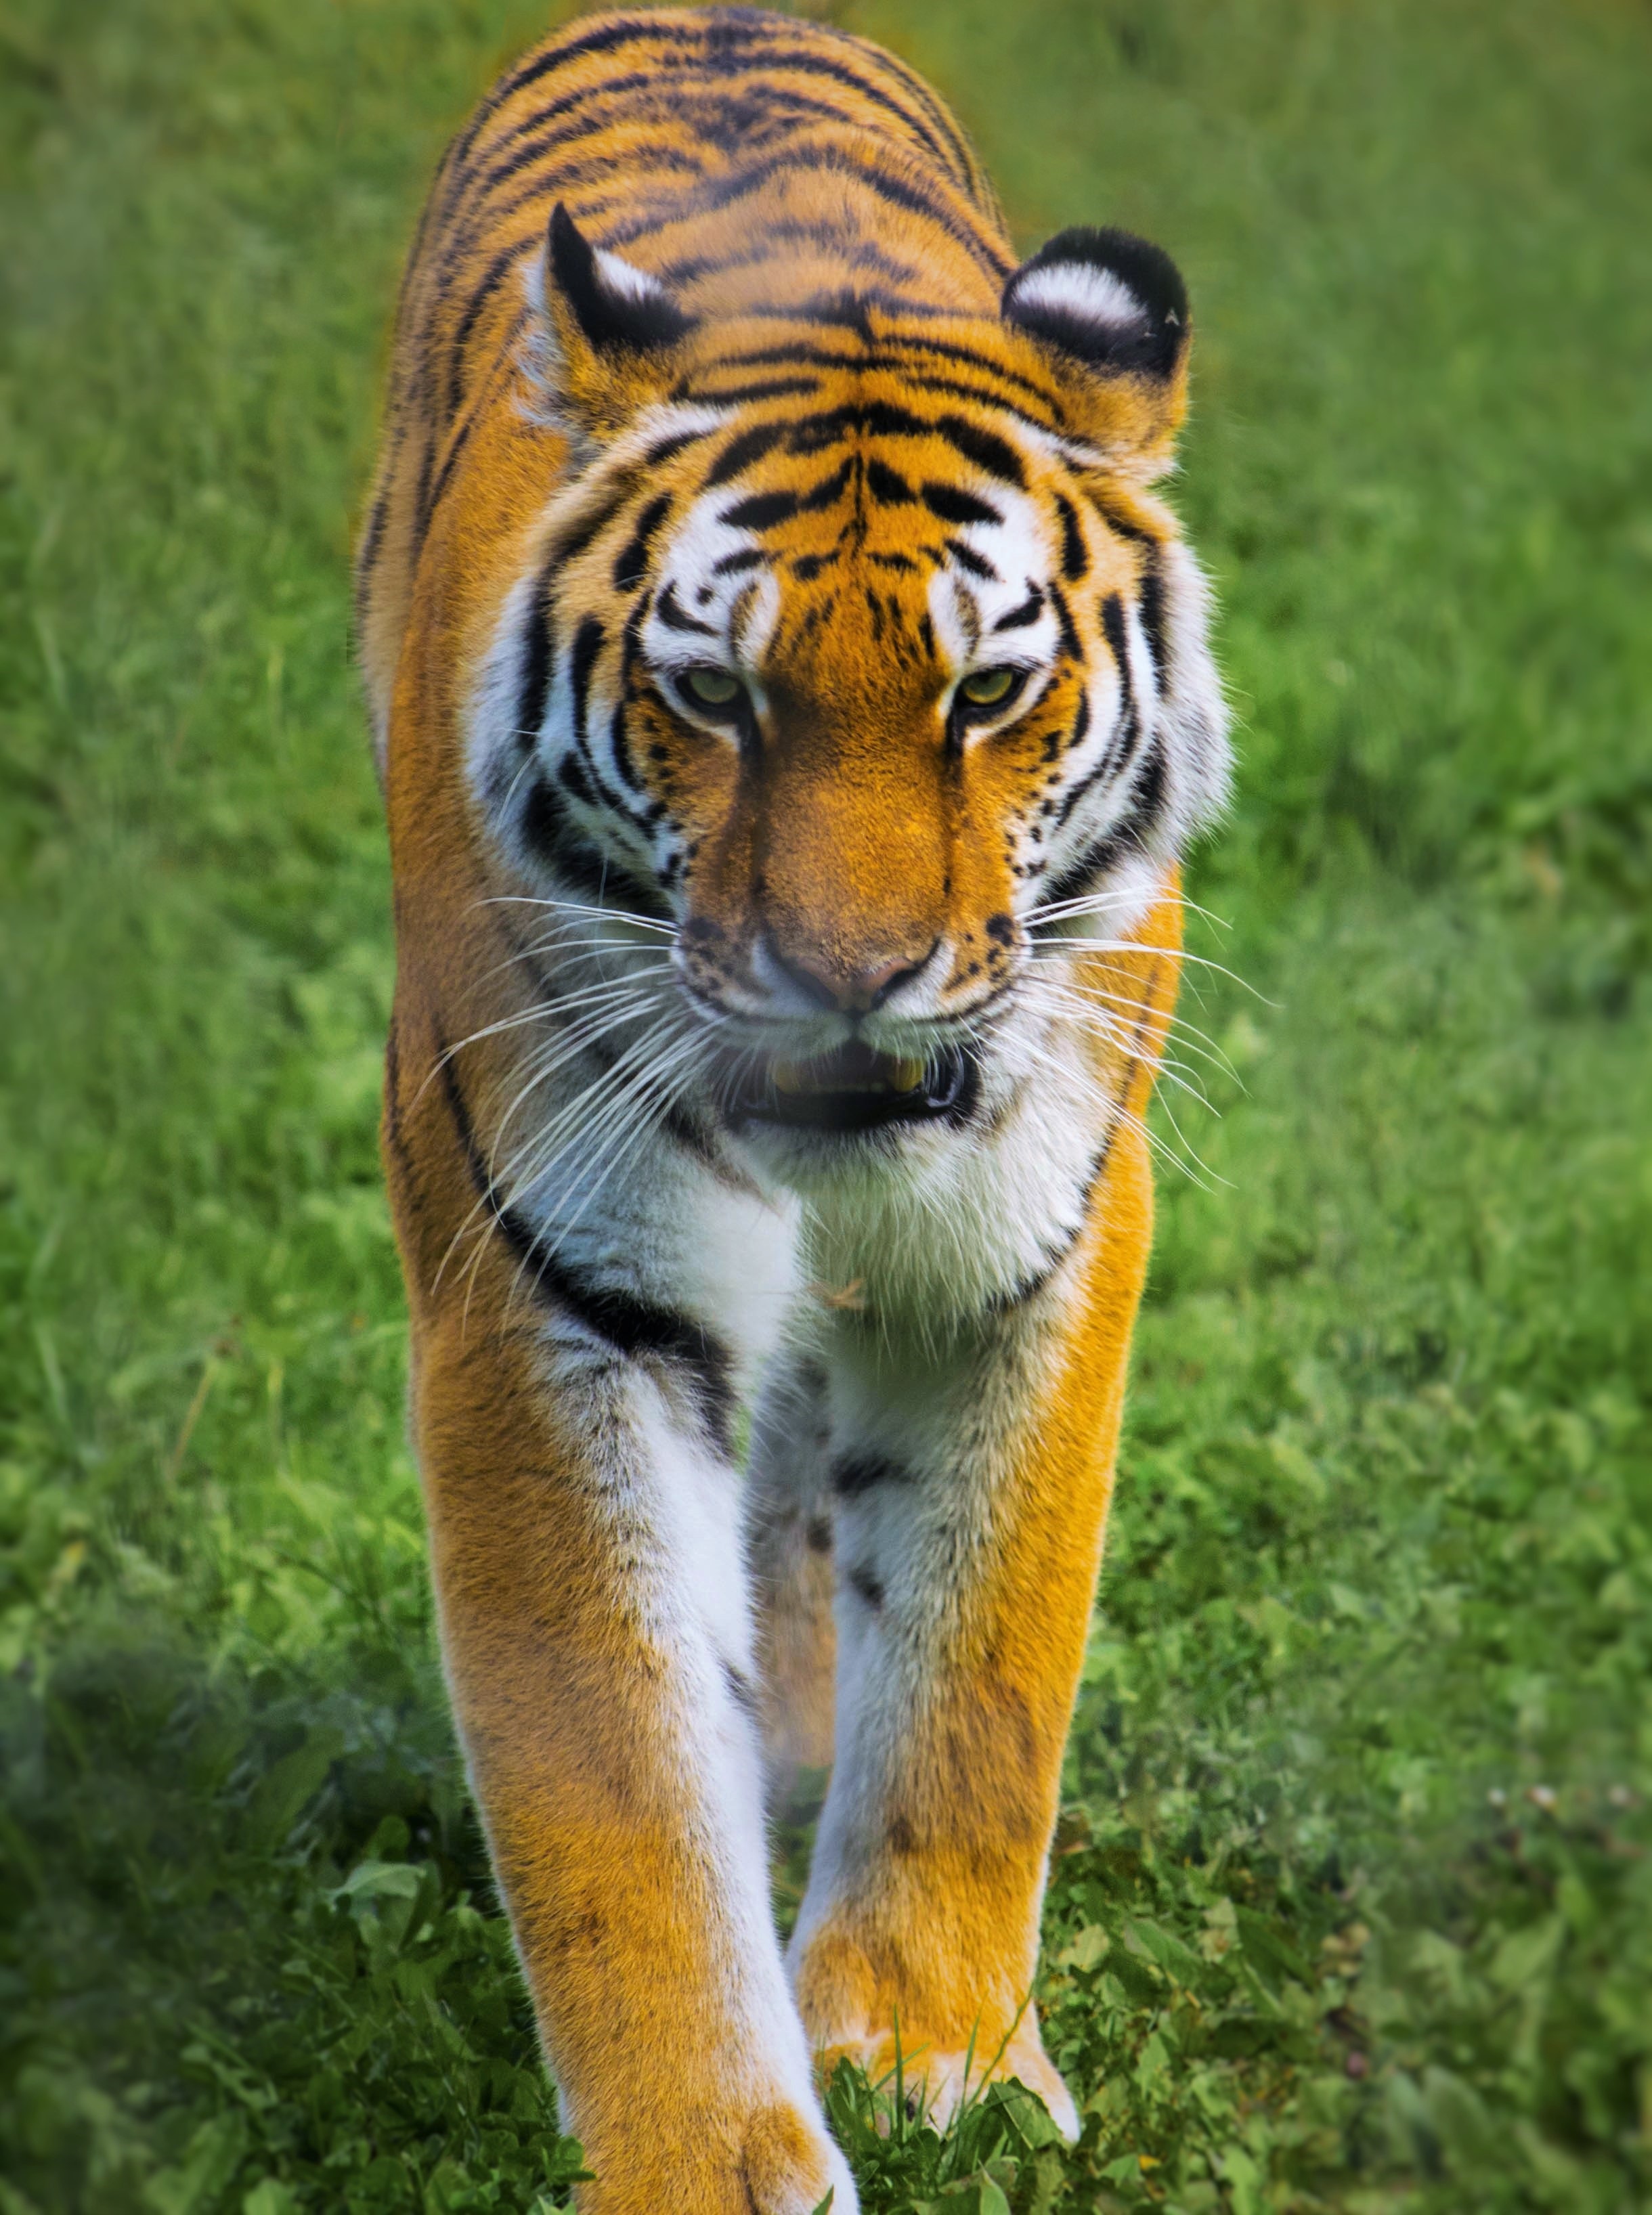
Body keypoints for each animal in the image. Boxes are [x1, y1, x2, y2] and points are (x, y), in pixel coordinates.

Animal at [356, 8, 1222, 2206]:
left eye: (985, 696)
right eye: (713, 696)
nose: (852, 972)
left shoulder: (1042, 1233)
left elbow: (984, 1660)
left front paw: (928, 2049)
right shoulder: (549, 1279)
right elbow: (609, 1766)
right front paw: (708, 2152)